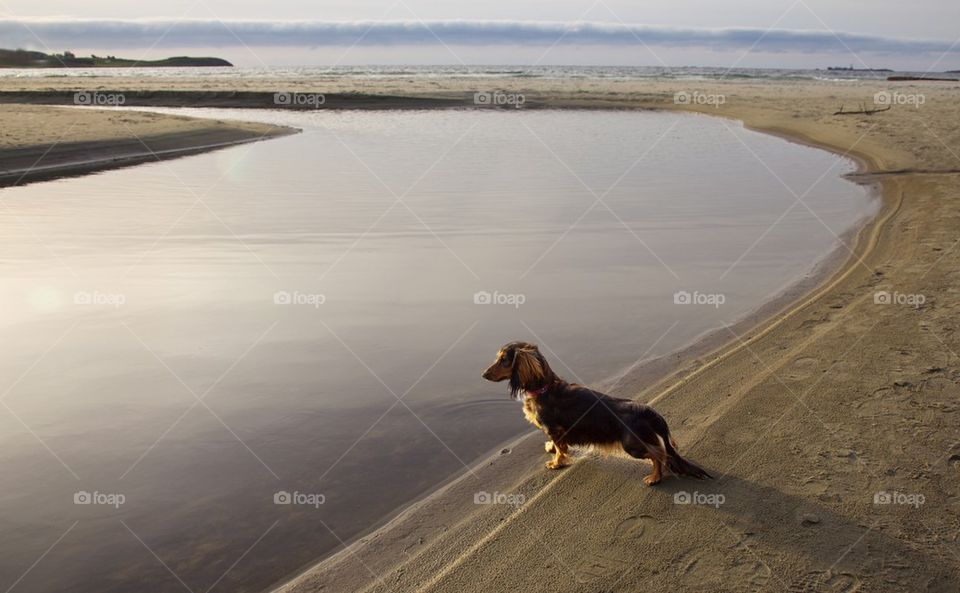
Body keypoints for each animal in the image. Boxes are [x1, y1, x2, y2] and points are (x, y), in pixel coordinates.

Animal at [484, 340, 708, 484]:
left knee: (659, 454)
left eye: (504, 359)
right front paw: (551, 448)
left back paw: (654, 477)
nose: (483, 374)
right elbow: (556, 445)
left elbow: (560, 450)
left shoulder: (555, 430)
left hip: (632, 446)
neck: (543, 388)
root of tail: (646, 410)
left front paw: (556, 463)